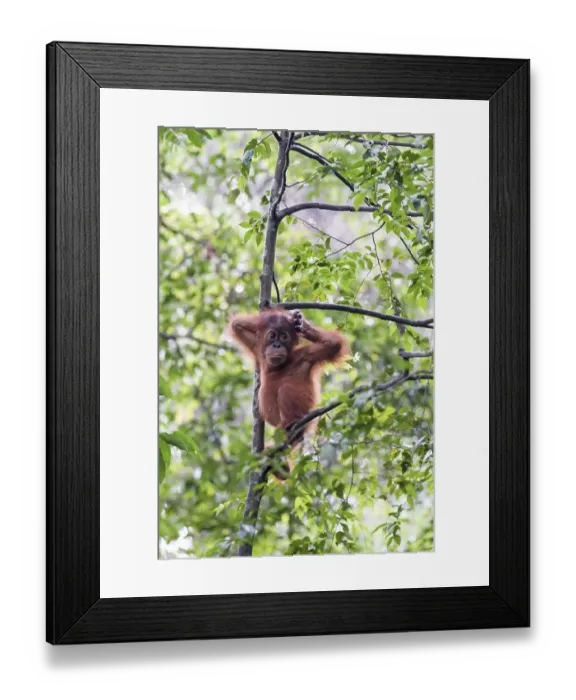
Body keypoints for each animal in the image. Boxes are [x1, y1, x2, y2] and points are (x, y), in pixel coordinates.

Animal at [228, 307, 350, 478]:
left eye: (284, 336)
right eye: (272, 335)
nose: (277, 345)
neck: (276, 367)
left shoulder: (306, 356)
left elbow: (333, 344)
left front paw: (300, 323)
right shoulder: (257, 348)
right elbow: (237, 325)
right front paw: (291, 318)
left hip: (303, 419)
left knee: (285, 390)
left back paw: (289, 426)